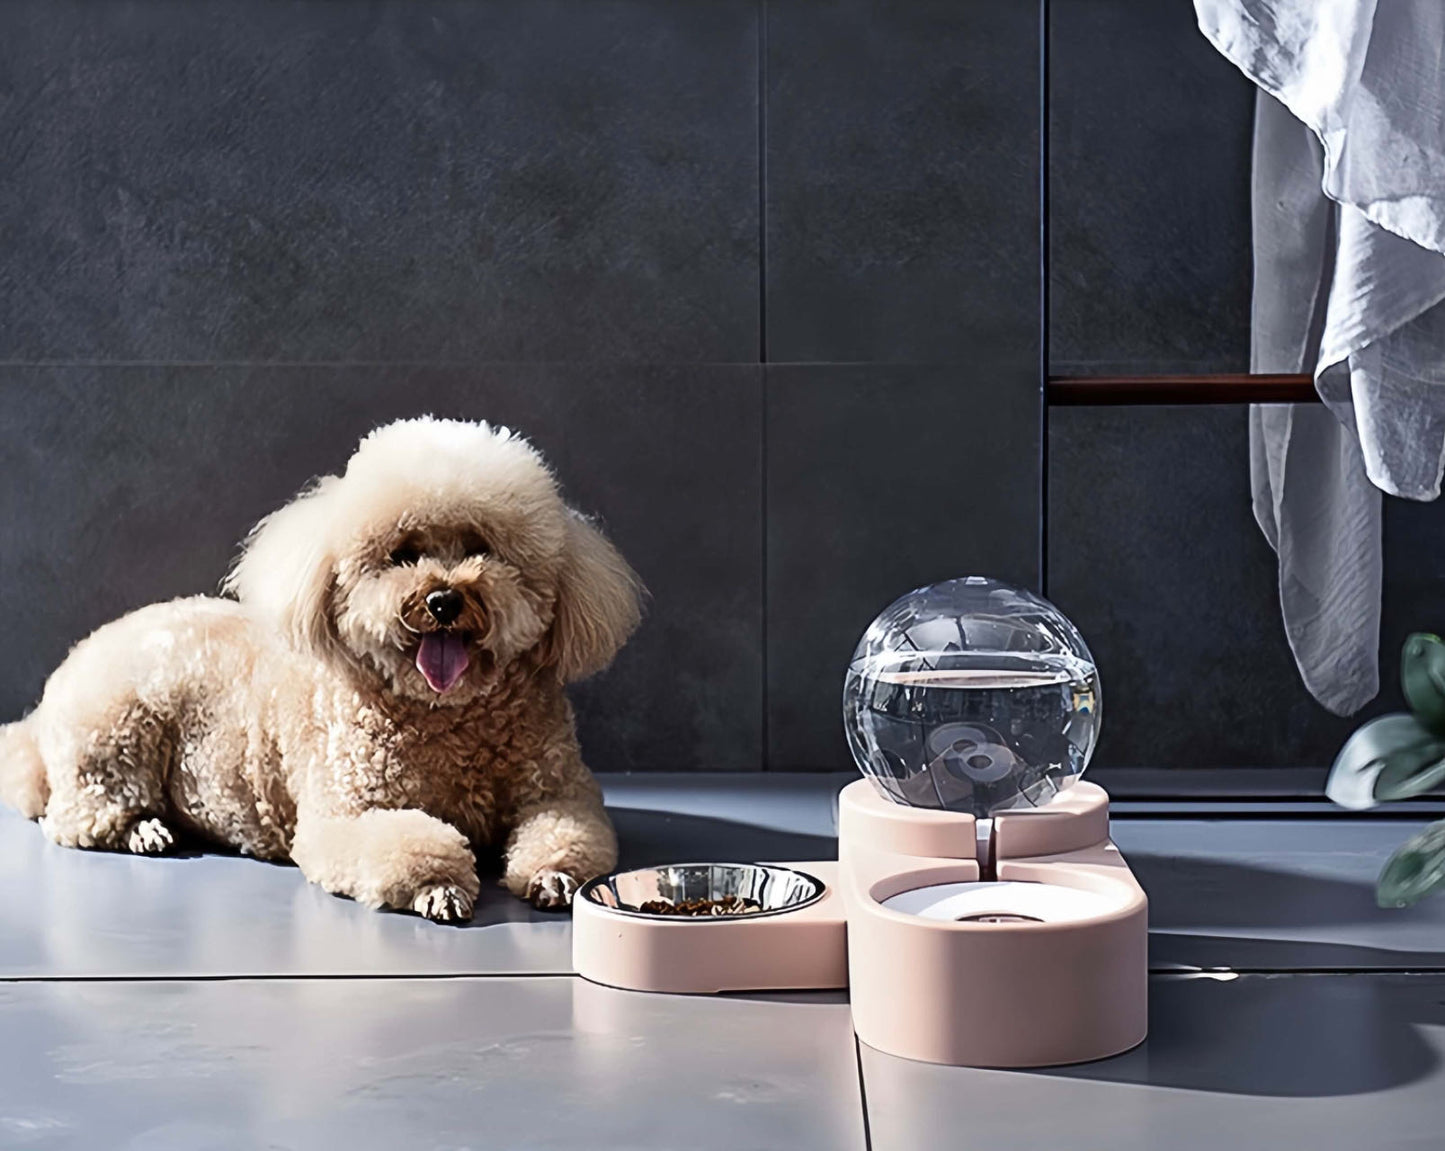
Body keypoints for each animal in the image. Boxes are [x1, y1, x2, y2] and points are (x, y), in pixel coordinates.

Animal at [0, 418, 644, 918]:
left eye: (481, 548)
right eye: (402, 554)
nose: (442, 600)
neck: (446, 716)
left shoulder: (560, 792)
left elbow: (565, 832)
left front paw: (555, 874)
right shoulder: (347, 815)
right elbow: (405, 843)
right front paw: (438, 884)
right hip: (117, 730)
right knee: (77, 816)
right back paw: (144, 829)